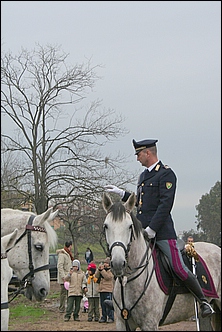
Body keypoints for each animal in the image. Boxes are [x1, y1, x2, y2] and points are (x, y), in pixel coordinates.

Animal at [102, 193, 220, 330]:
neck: (129, 280)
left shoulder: (150, 324)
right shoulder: (122, 323)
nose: (118, 264)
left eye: (130, 226)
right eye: (106, 226)